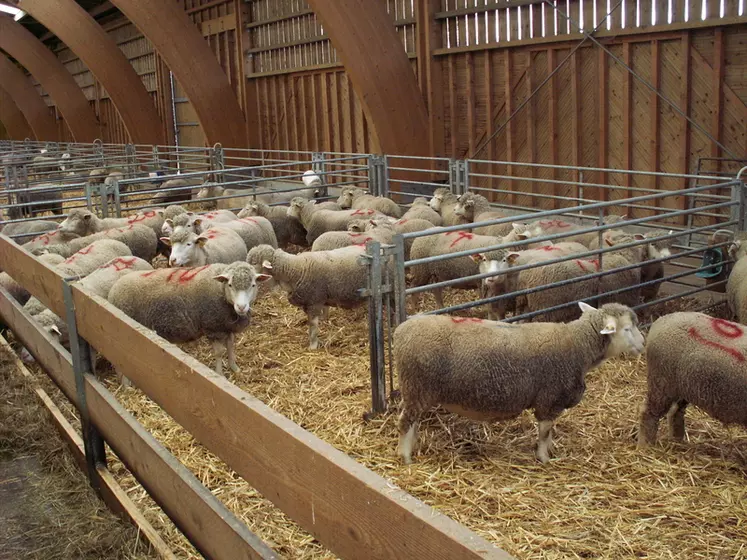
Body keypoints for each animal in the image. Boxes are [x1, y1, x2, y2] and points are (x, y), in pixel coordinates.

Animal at [105, 262, 268, 376]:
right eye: (230, 284)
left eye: (253, 285)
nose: (241, 307)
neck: (221, 292)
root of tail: (113, 290)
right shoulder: (212, 327)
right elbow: (219, 352)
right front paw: (220, 374)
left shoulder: (226, 327)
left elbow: (230, 346)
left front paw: (235, 368)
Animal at [394, 302, 644, 464]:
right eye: (627, 328)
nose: (643, 343)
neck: (579, 346)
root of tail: (400, 331)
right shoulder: (550, 398)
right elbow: (544, 432)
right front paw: (544, 458)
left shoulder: (552, 402)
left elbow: (549, 432)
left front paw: (551, 449)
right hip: (416, 386)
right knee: (404, 422)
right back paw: (405, 458)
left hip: (417, 391)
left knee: (412, 421)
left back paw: (413, 446)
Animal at [636, 310, 747, 446]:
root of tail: (661, 320)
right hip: (661, 382)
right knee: (649, 413)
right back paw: (645, 445)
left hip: (683, 386)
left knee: (675, 412)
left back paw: (677, 439)